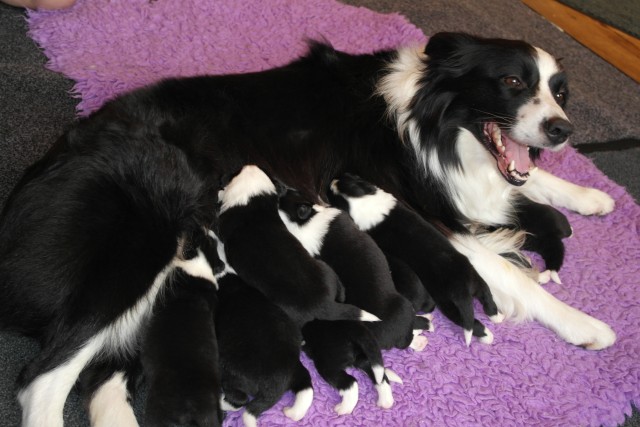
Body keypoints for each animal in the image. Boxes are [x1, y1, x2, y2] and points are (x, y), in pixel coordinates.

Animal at [218, 166, 378, 326]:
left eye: (235, 171)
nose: (283, 186)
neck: (252, 199)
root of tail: (325, 305)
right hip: (328, 271)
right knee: (340, 288)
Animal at [330, 176, 500, 346]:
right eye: (349, 178)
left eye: (334, 198)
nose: (333, 181)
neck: (364, 199)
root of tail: (464, 288)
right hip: (478, 280)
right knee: (487, 297)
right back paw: (496, 317)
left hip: (449, 304)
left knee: (470, 322)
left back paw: (486, 335)